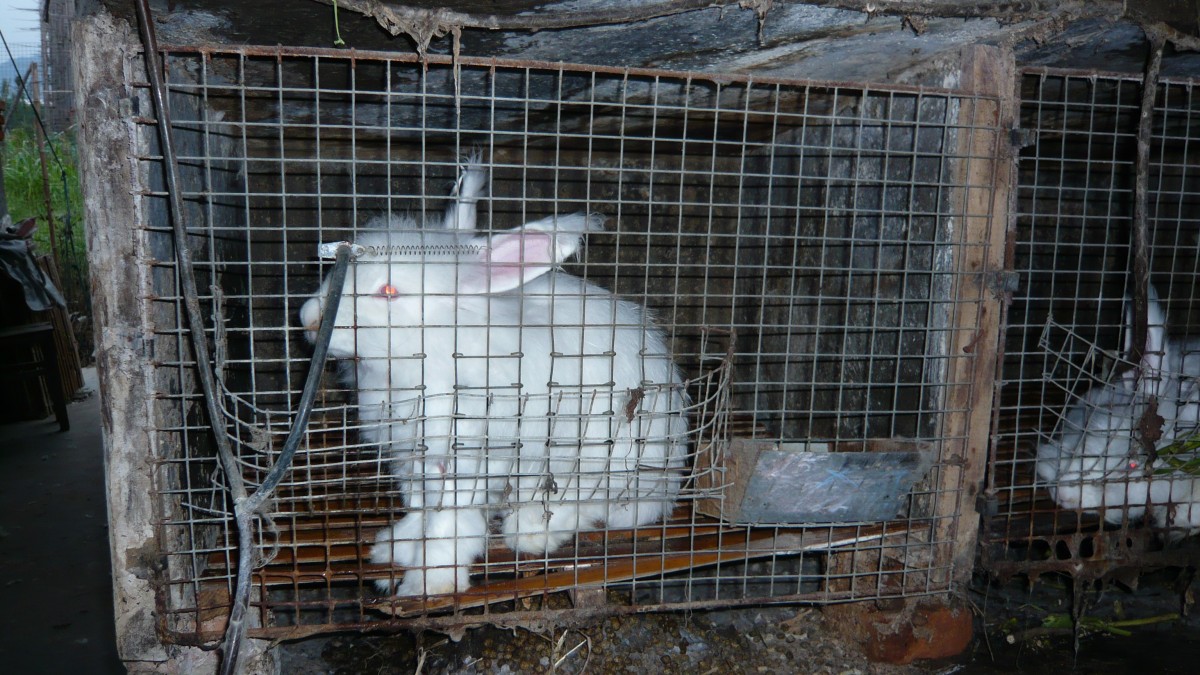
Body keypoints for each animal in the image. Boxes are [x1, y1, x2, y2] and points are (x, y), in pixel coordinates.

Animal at [300, 153, 691, 593]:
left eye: (388, 292)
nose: (308, 319)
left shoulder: (466, 457)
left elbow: (450, 522)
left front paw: (429, 581)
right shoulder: (413, 459)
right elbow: (420, 511)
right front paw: (394, 549)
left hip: (594, 456)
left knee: (587, 504)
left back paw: (531, 532)